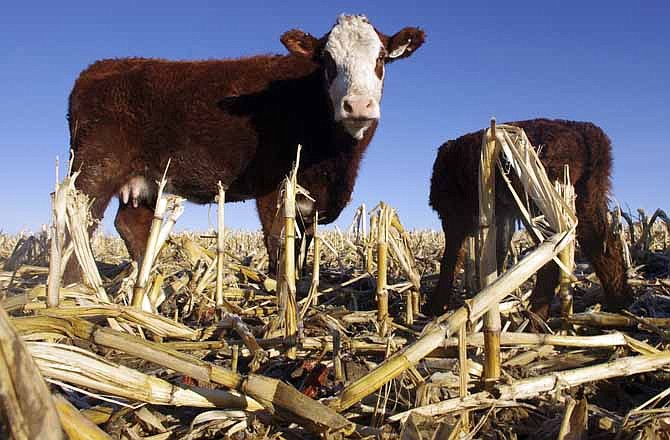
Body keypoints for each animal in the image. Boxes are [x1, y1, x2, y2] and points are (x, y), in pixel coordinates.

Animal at [68, 14, 426, 276]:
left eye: (381, 58)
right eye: (327, 60)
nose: (358, 105)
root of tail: (98, 68)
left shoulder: (310, 204)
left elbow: (302, 250)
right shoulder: (275, 187)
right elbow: (279, 244)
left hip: (146, 180)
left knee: (131, 224)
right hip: (94, 168)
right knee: (77, 222)